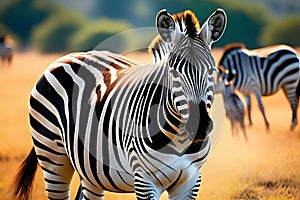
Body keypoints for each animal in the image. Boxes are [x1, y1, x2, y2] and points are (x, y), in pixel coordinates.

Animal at [12, 8, 226, 199]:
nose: (200, 126)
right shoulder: (145, 180)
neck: (179, 139)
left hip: (90, 171)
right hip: (51, 157)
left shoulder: (190, 183)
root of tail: (70, 55)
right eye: (173, 72)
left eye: (212, 71)